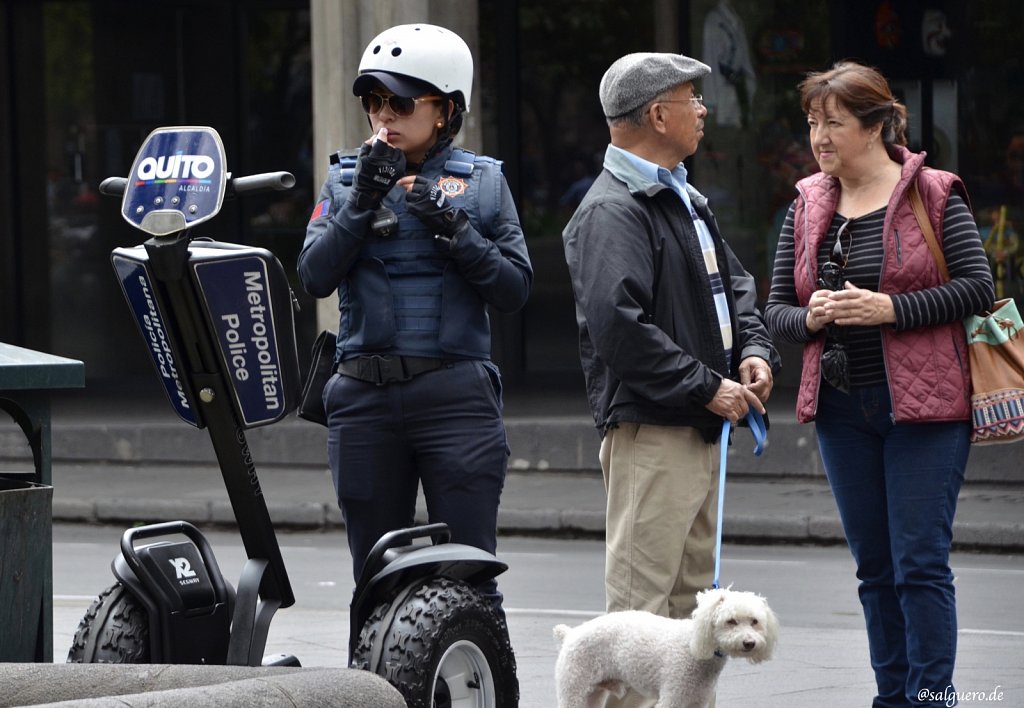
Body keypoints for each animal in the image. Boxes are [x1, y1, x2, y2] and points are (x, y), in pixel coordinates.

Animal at [552, 586, 774, 708]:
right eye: (731, 621)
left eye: (755, 621)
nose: (749, 643)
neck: (694, 646)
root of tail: (570, 633)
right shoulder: (673, 696)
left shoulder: (697, 701)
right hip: (574, 685)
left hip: (592, 692)